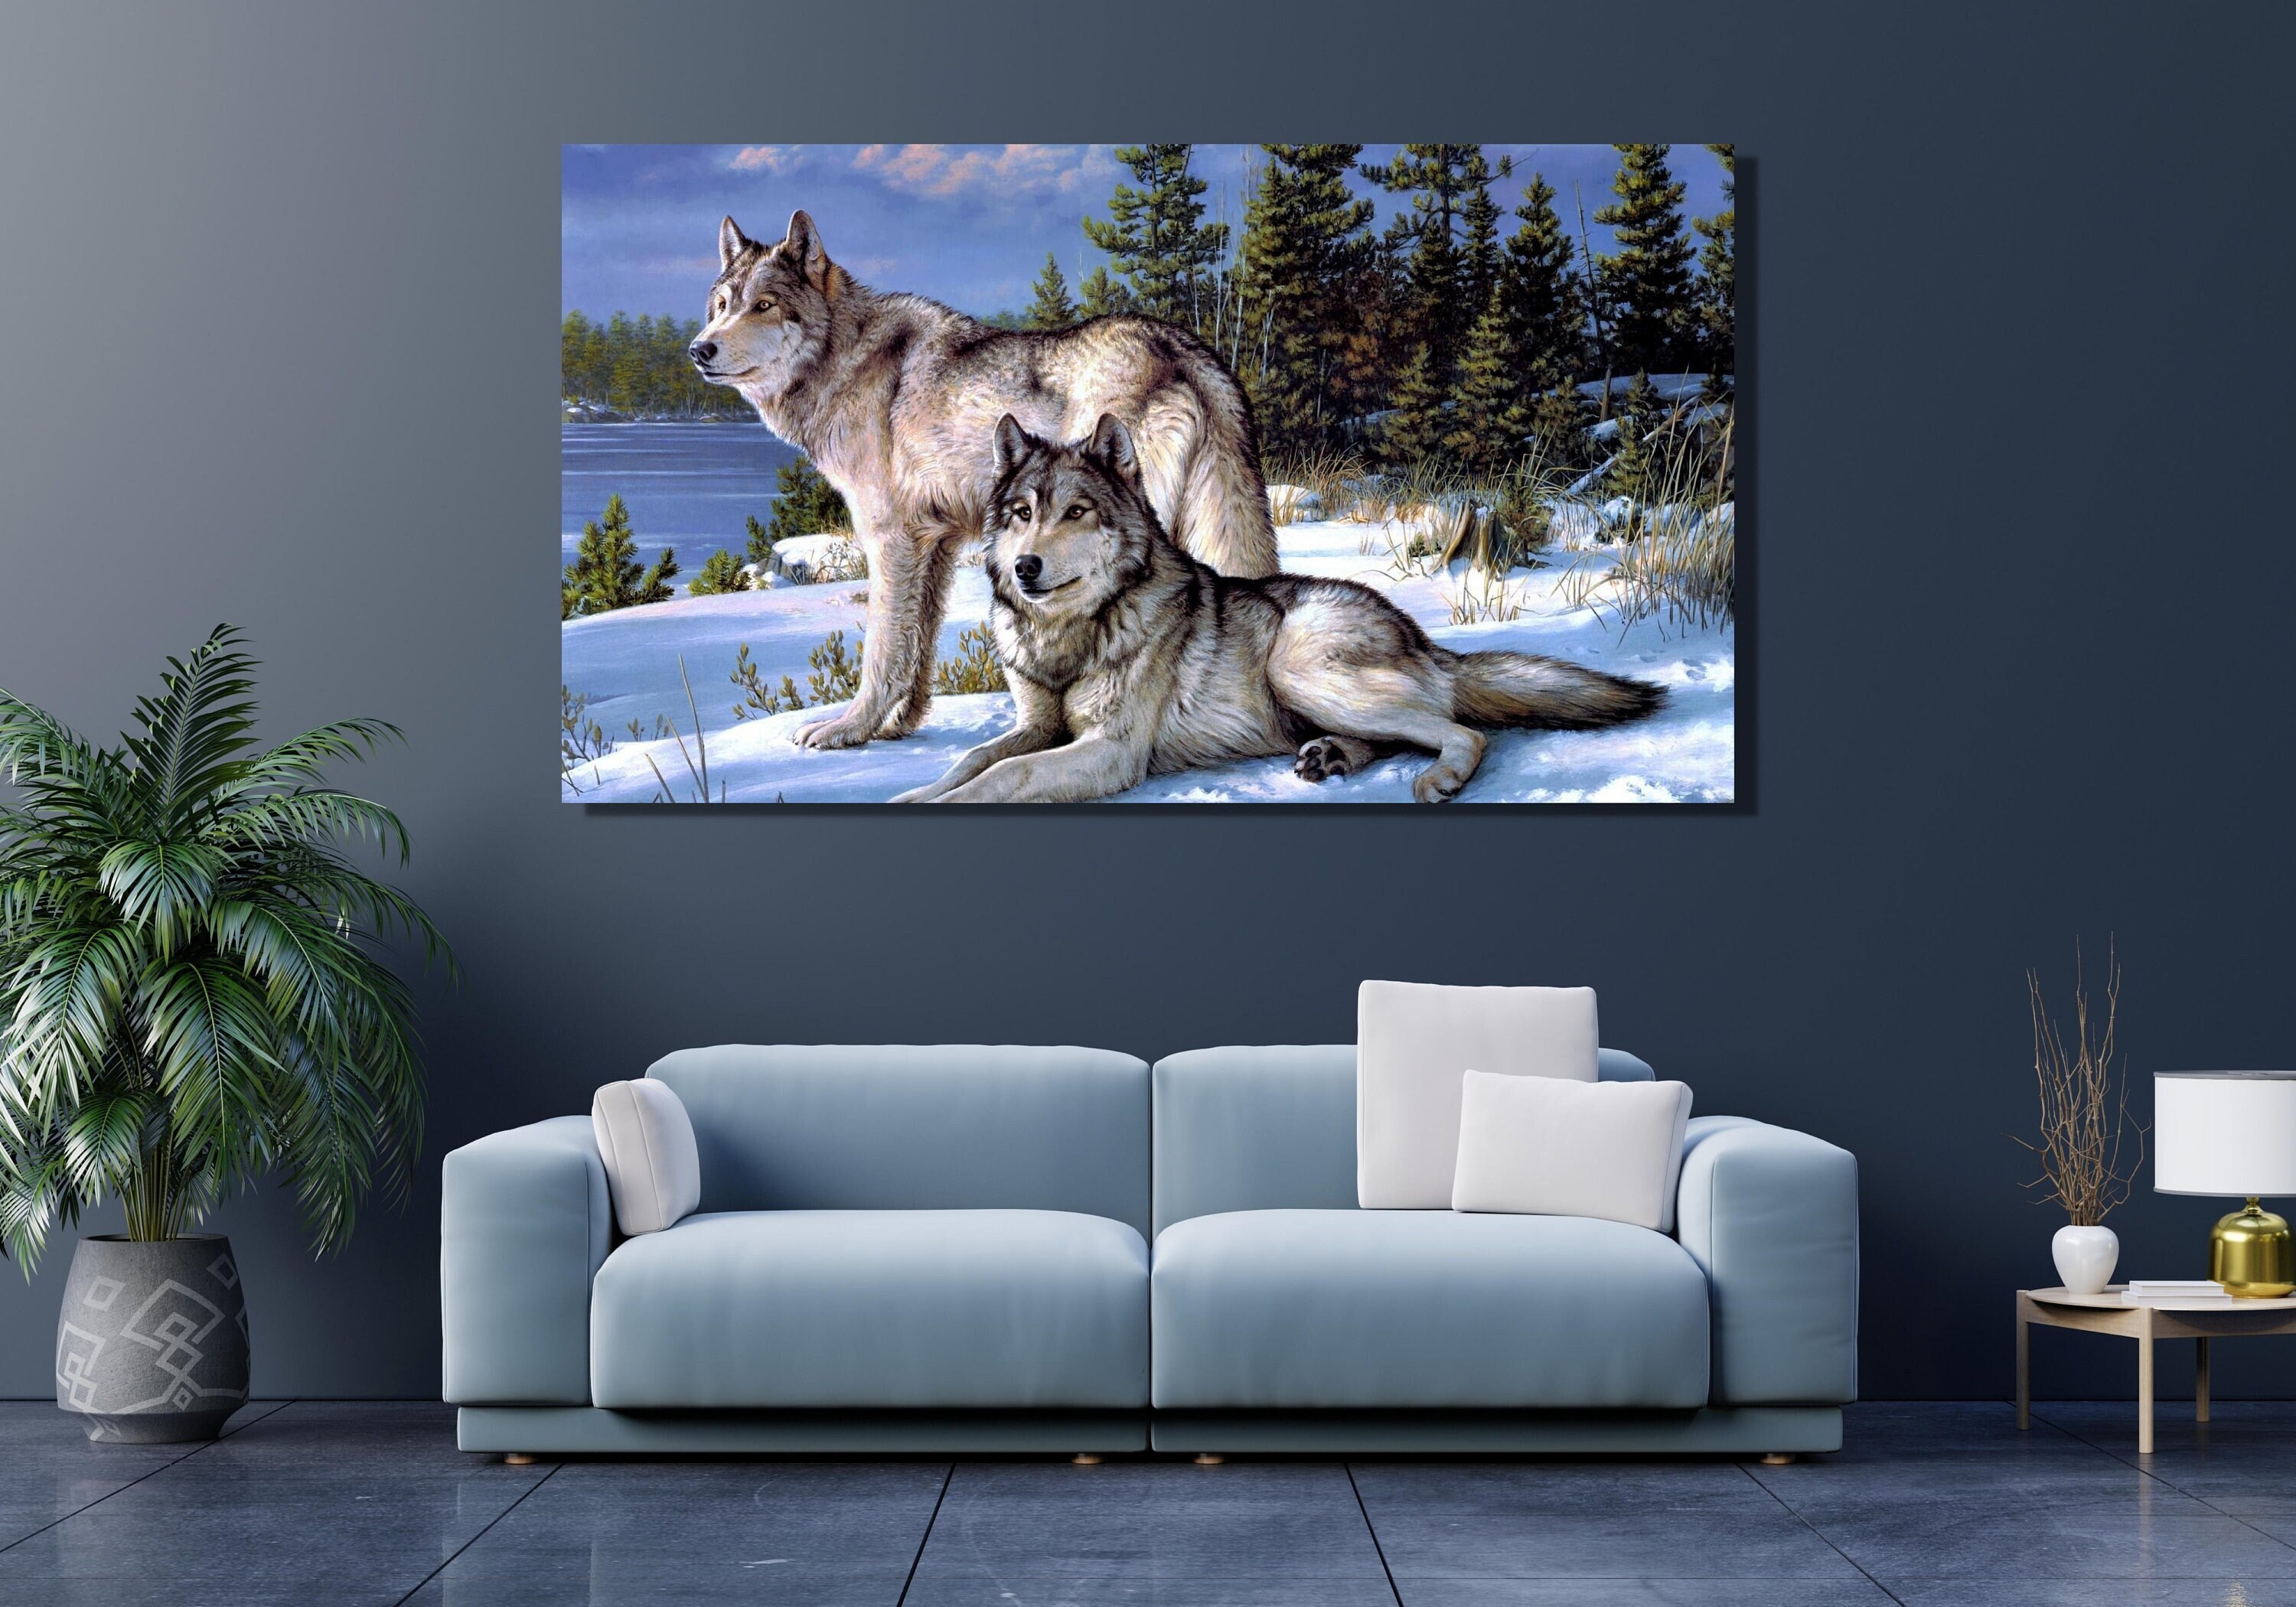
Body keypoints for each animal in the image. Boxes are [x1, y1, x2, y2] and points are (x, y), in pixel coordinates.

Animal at [690, 212, 1280, 752]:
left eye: (764, 306)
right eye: (721, 306)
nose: (700, 349)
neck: (845, 359)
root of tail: (1186, 349)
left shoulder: (890, 540)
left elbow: (882, 650)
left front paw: (848, 730)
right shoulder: (935, 544)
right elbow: (917, 648)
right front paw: (897, 727)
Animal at [893, 416, 1666, 805]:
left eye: (1076, 513)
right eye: (1022, 515)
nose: (1025, 568)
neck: (1067, 638)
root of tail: (1419, 635)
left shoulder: (1111, 752)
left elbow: (1003, 776)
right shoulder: (1037, 727)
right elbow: (971, 761)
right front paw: (911, 795)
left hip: (1299, 669)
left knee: (1464, 733)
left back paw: (1437, 777)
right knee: (1406, 732)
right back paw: (1331, 757)